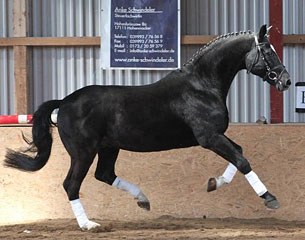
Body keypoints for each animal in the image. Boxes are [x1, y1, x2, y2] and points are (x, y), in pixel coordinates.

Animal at [4, 24, 290, 231]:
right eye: (268, 51)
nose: (285, 81)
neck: (201, 85)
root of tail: (64, 102)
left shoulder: (216, 136)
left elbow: (239, 153)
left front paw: (214, 183)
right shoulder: (209, 137)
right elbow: (242, 161)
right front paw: (270, 198)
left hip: (108, 148)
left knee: (105, 174)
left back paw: (142, 199)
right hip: (83, 153)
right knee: (71, 185)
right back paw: (89, 225)